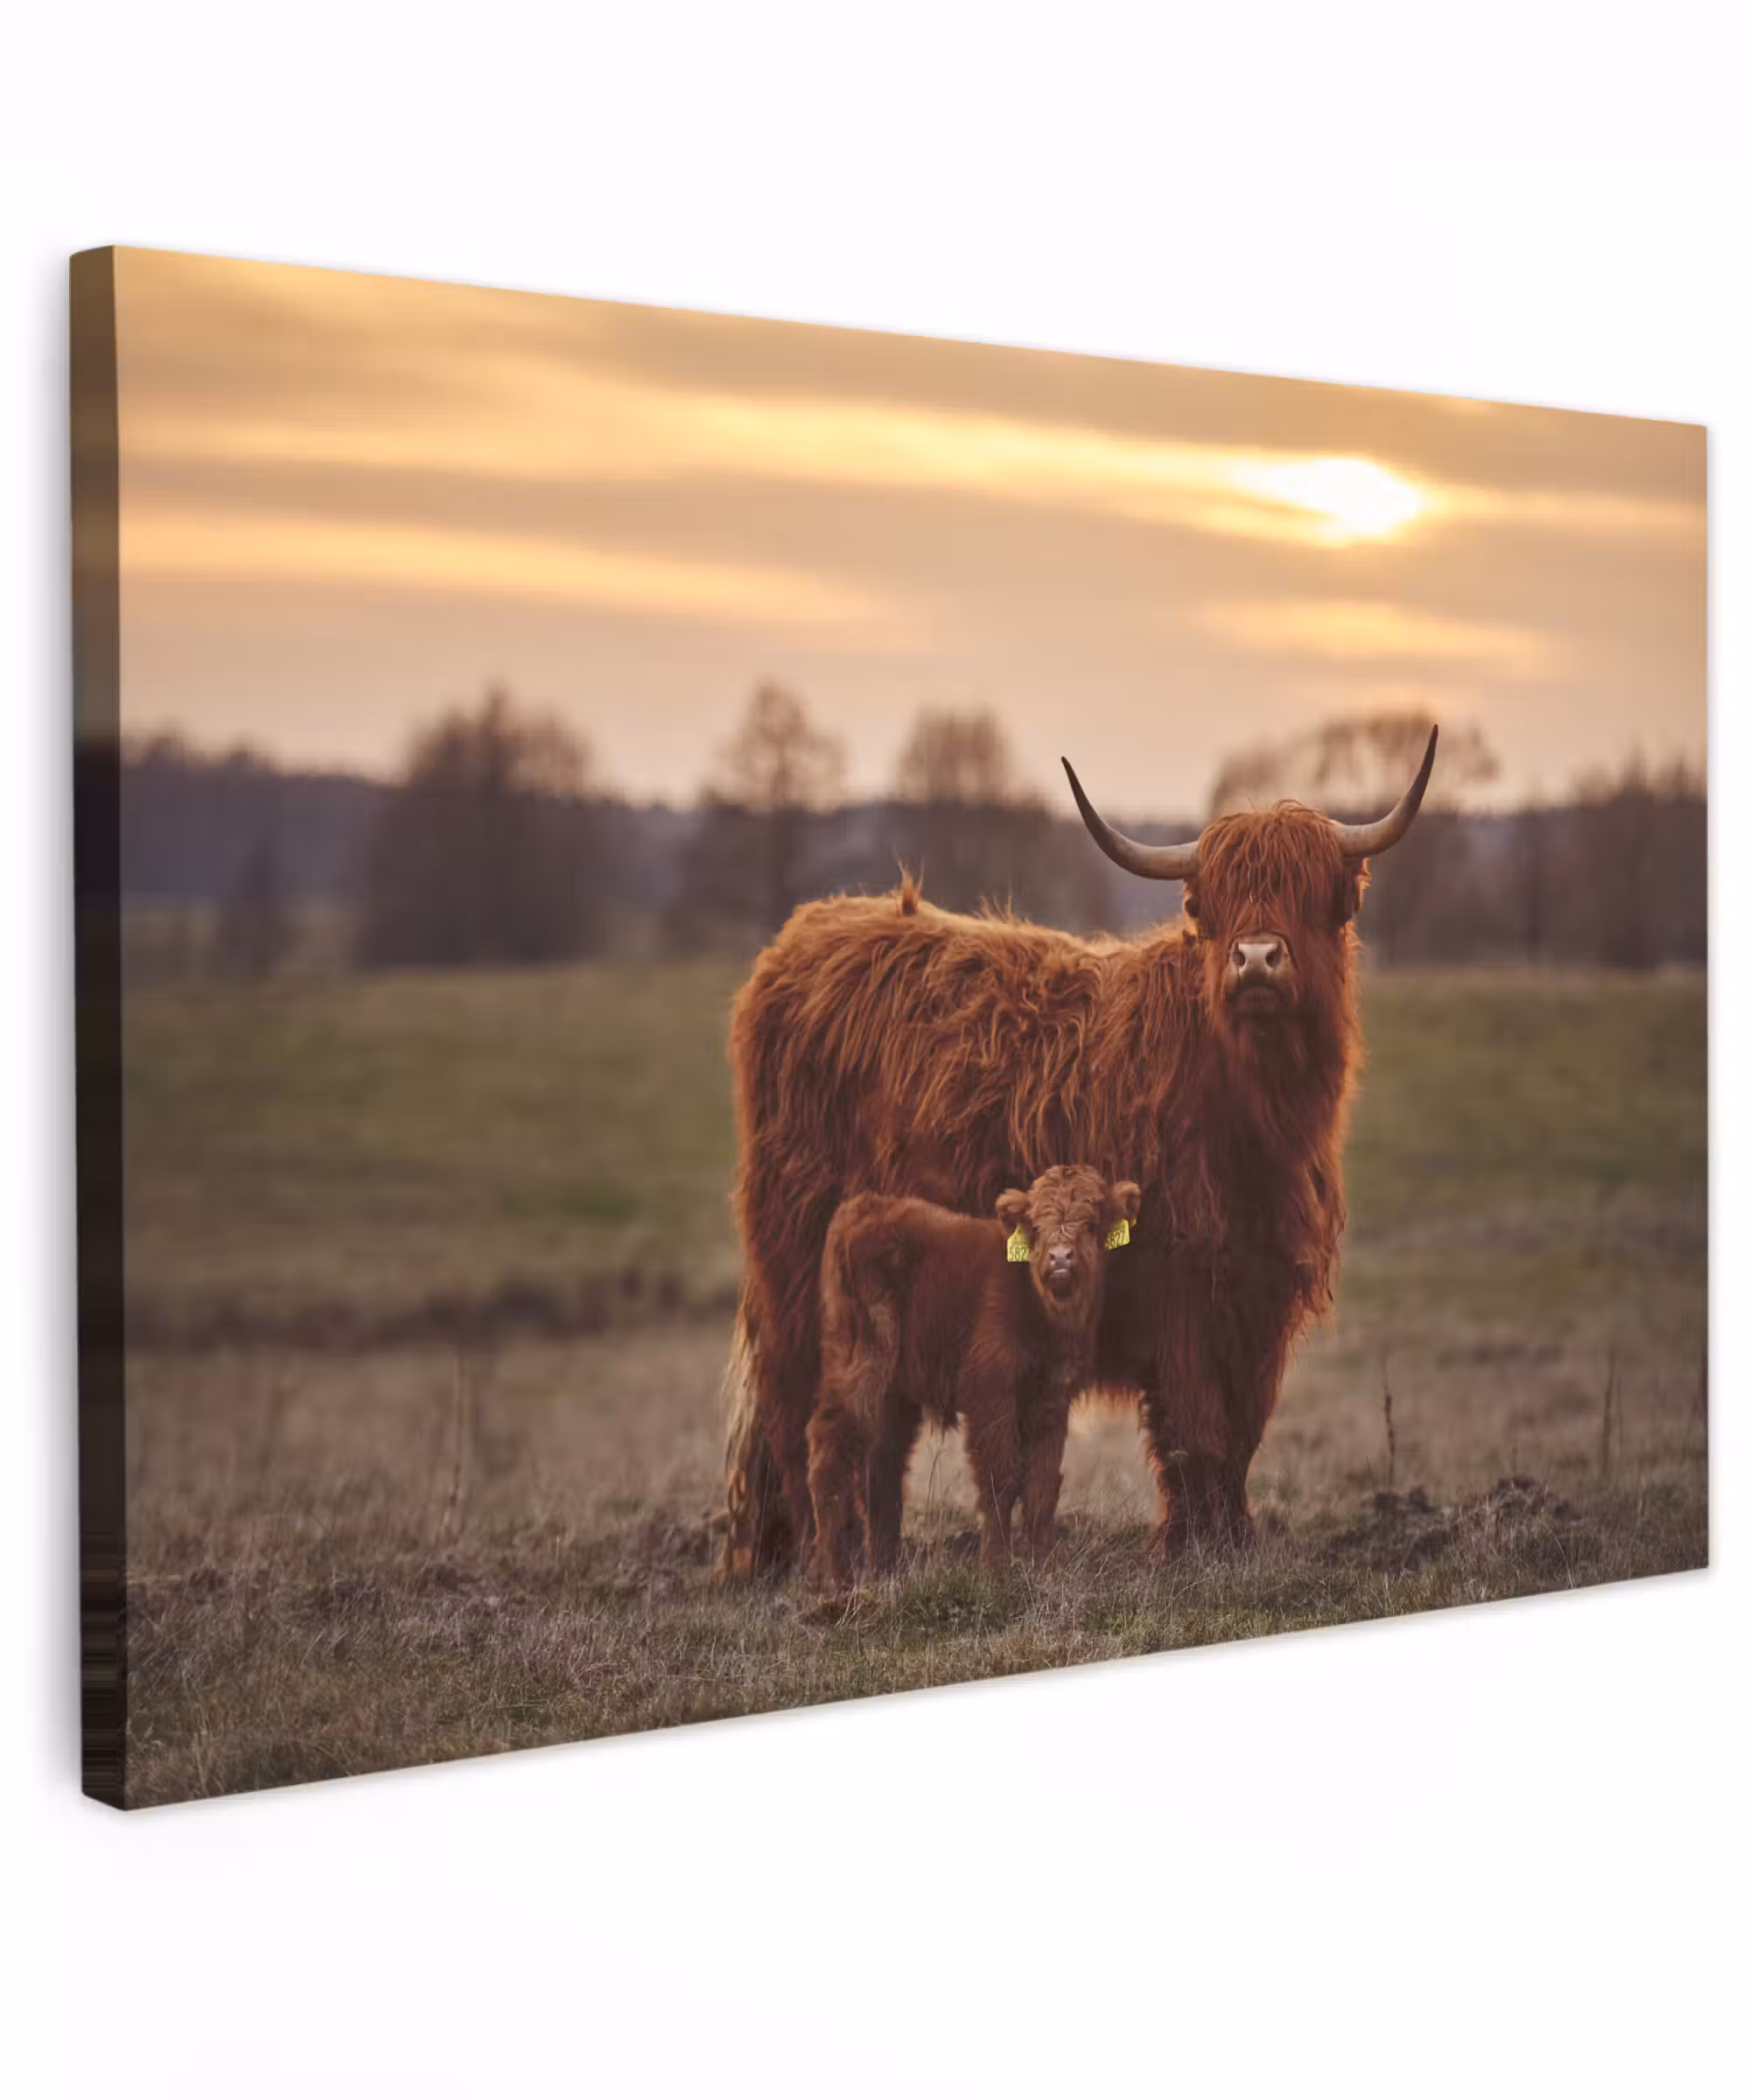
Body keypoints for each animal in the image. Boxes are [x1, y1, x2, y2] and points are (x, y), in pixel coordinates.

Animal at [809, 1166, 1143, 1585]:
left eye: (1091, 1223)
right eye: (1036, 1226)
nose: (1060, 1257)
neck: (1041, 1312)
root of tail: (864, 1207)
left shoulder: (1052, 1399)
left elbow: (1042, 1485)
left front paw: (1046, 1566)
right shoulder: (991, 1393)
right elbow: (1001, 1478)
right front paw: (996, 1567)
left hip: (893, 1393)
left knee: (882, 1465)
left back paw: (886, 1570)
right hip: (861, 1363)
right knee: (830, 1450)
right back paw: (833, 1577)